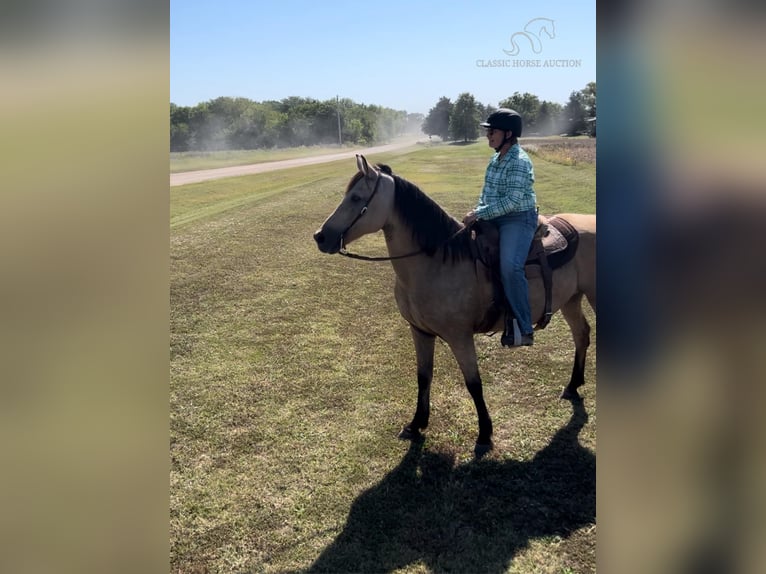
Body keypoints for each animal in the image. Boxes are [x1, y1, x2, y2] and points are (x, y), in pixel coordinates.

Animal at [316, 156, 596, 454]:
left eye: (356, 198)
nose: (320, 236)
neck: (437, 262)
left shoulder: (460, 337)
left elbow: (474, 384)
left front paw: (484, 435)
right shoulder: (420, 332)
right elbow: (423, 376)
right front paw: (416, 424)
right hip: (571, 299)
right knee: (582, 335)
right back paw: (573, 385)